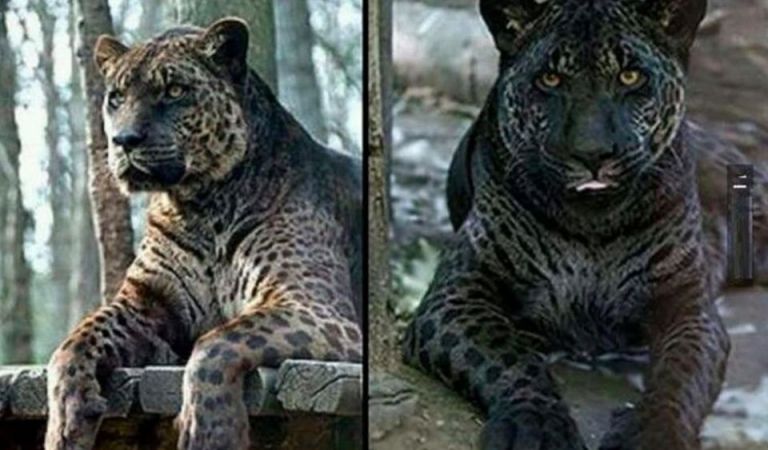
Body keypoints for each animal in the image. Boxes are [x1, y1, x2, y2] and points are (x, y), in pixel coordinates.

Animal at [44, 17, 362, 450]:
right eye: (116, 98)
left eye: (175, 91)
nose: (123, 140)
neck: (200, 206)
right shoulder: (146, 301)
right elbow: (74, 341)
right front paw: (65, 424)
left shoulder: (317, 307)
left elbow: (217, 342)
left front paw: (210, 431)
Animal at [403, 0, 768, 449]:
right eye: (550, 78)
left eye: (630, 76)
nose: (592, 153)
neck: (594, 221)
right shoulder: (458, 294)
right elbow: (508, 356)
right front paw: (535, 424)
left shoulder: (687, 305)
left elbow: (678, 376)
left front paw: (652, 432)